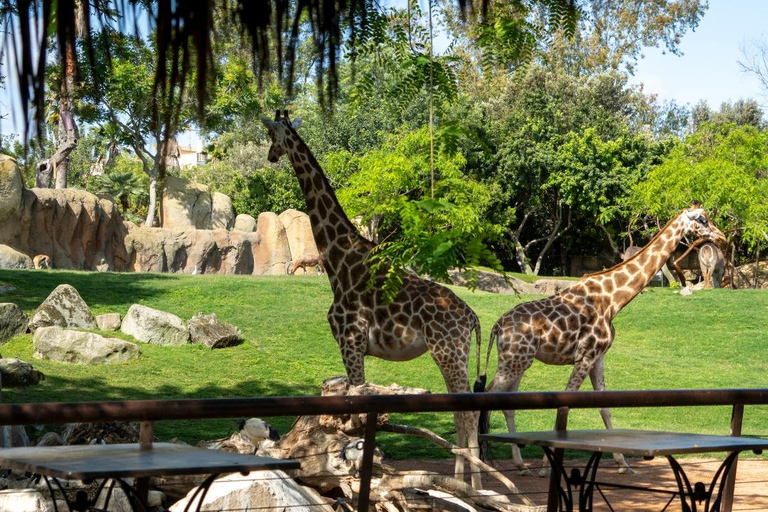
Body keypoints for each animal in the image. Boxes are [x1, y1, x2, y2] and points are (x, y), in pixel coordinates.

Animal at [260, 112, 486, 488]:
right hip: (455, 353)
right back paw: (466, 482)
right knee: (461, 412)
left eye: (271, 135)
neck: (339, 263)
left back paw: (473, 486)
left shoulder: (350, 343)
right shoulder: (352, 348)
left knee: (467, 412)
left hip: (447, 351)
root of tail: (471, 316)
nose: (270, 156)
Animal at [480, 208, 728, 476]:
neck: (612, 299)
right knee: (487, 396)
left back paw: (519, 464)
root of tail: (497, 325)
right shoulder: (585, 355)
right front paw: (548, 466)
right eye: (703, 220)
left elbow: (605, 407)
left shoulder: (599, 356)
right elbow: (564, 407)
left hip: (520, 361)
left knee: (507, 403)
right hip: (514, 360)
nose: (721, 236)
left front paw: (623, 463)